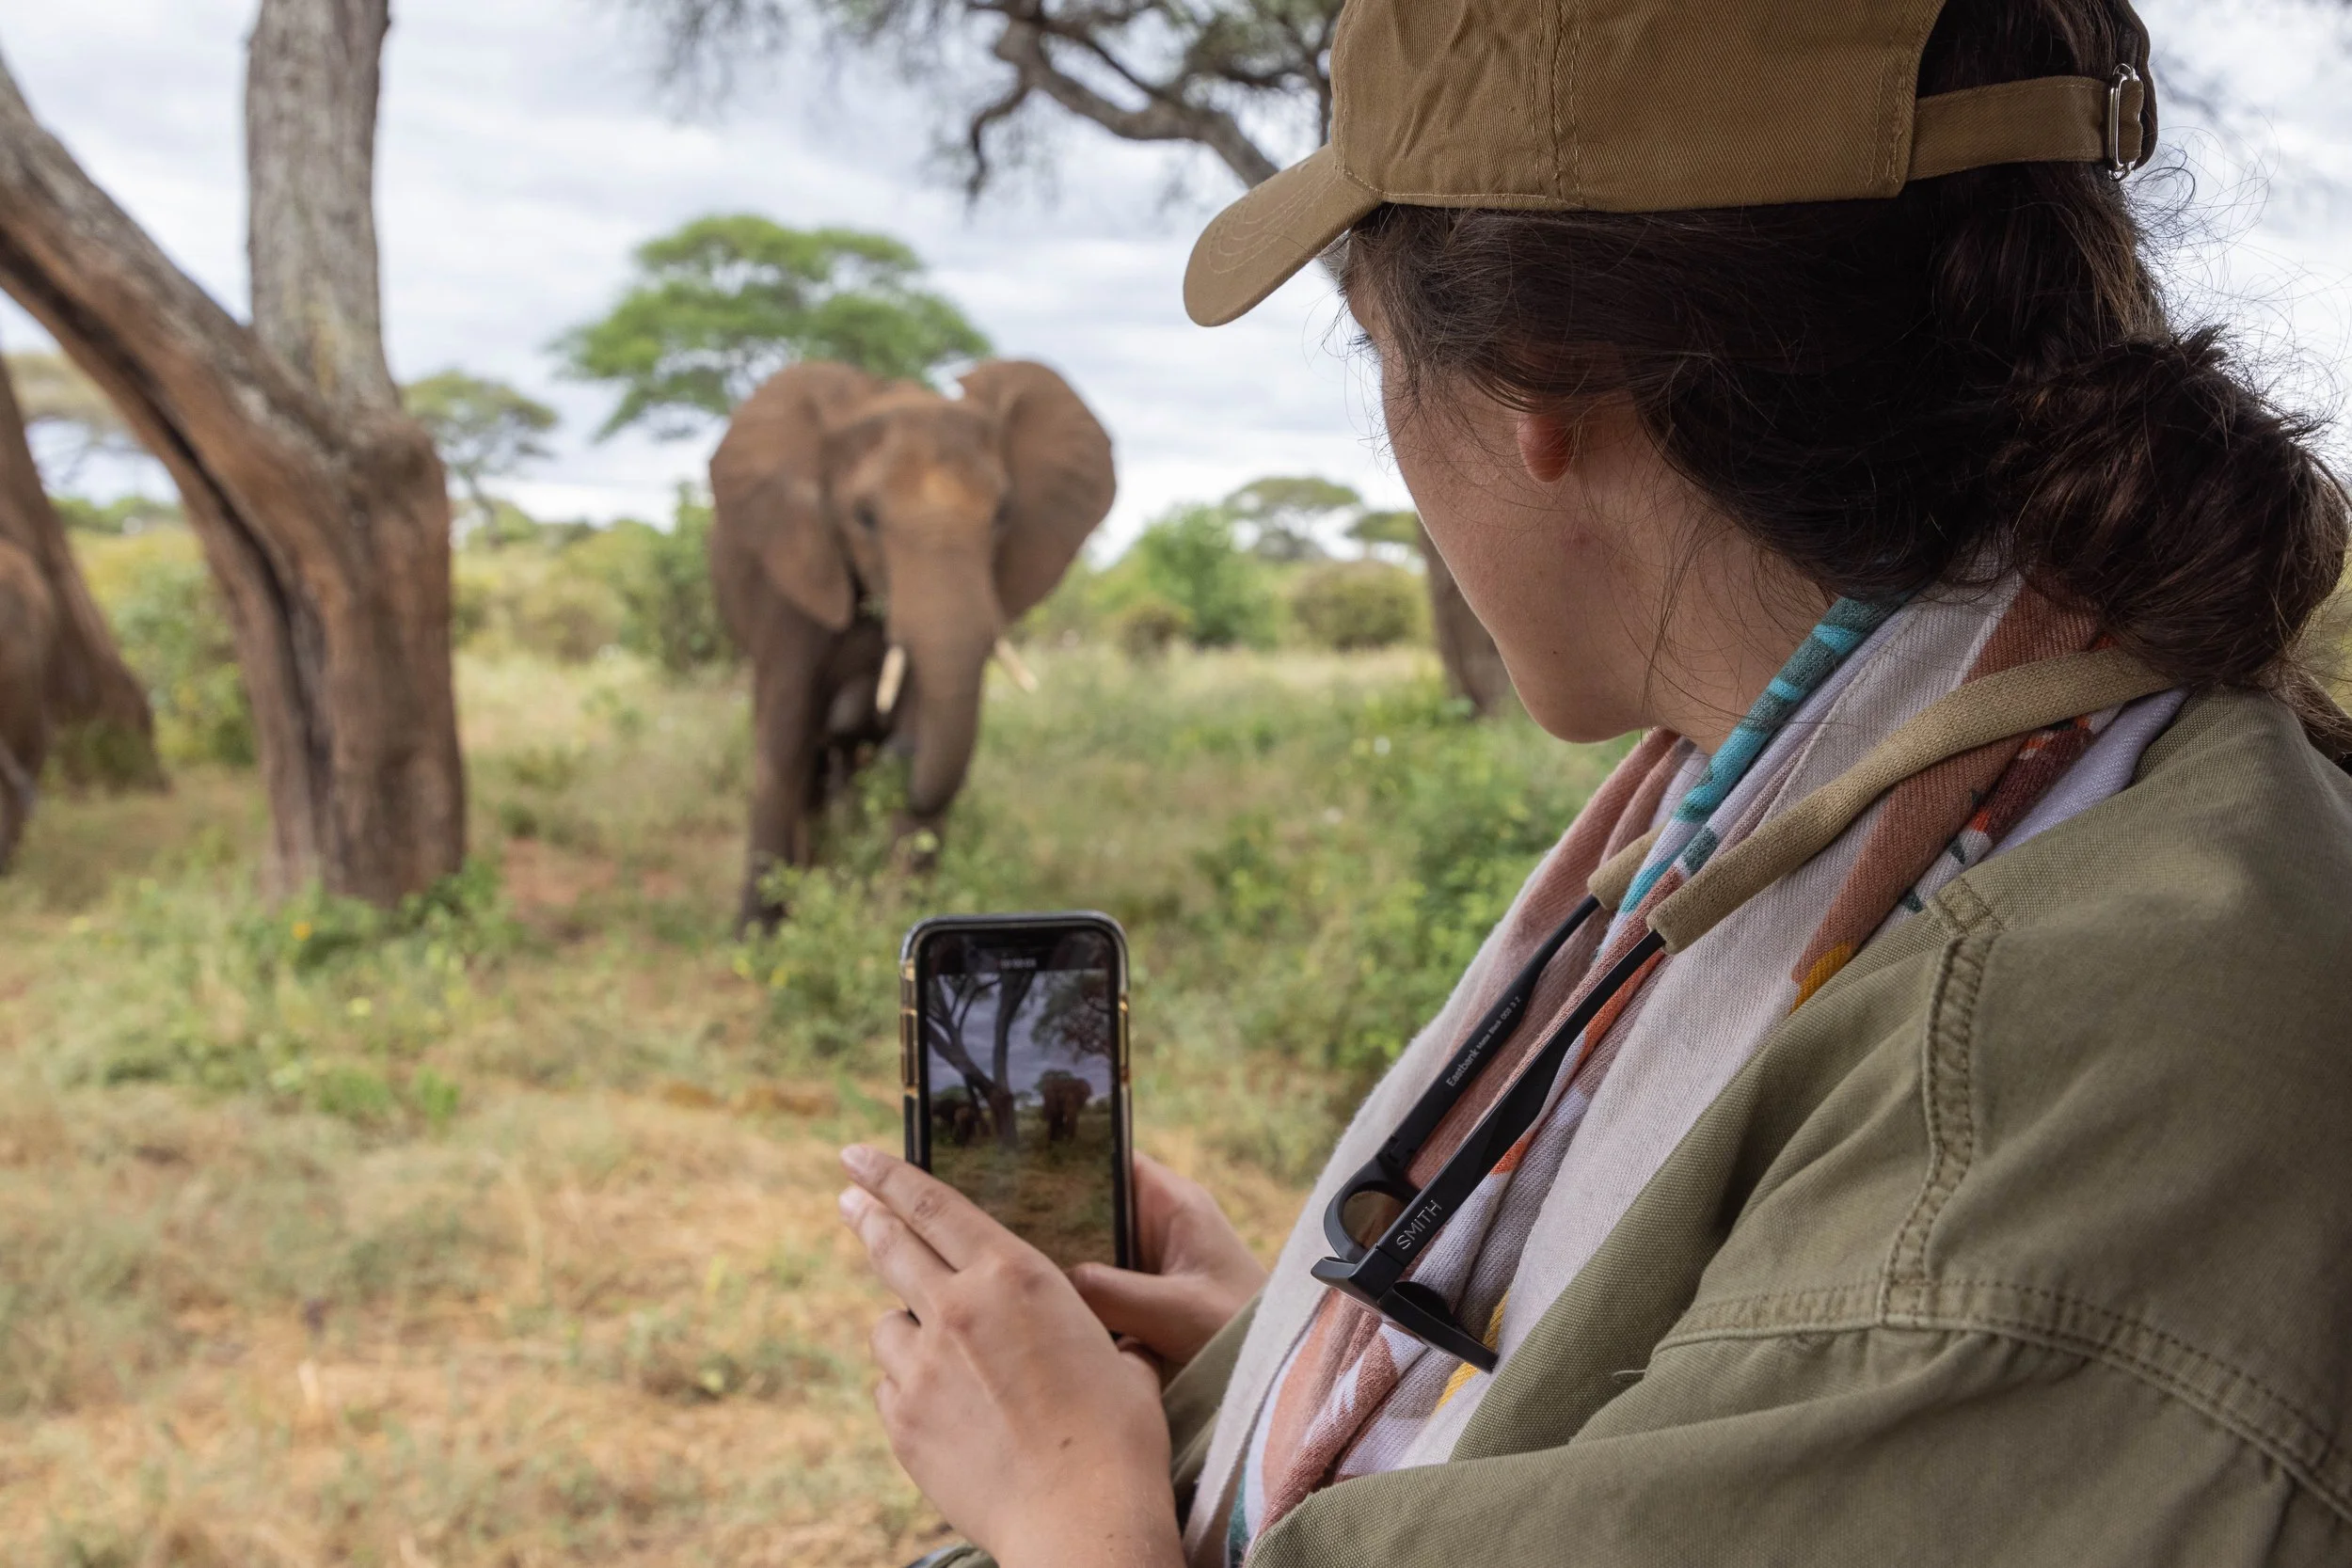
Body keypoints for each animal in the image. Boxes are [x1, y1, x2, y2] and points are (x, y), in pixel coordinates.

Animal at [709, 359, 1115, 930]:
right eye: (864, 518)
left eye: (1003, 514)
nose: (898, 752)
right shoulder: (790, 580)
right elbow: (784, 745)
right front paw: (757, 939)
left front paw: (897, 920)